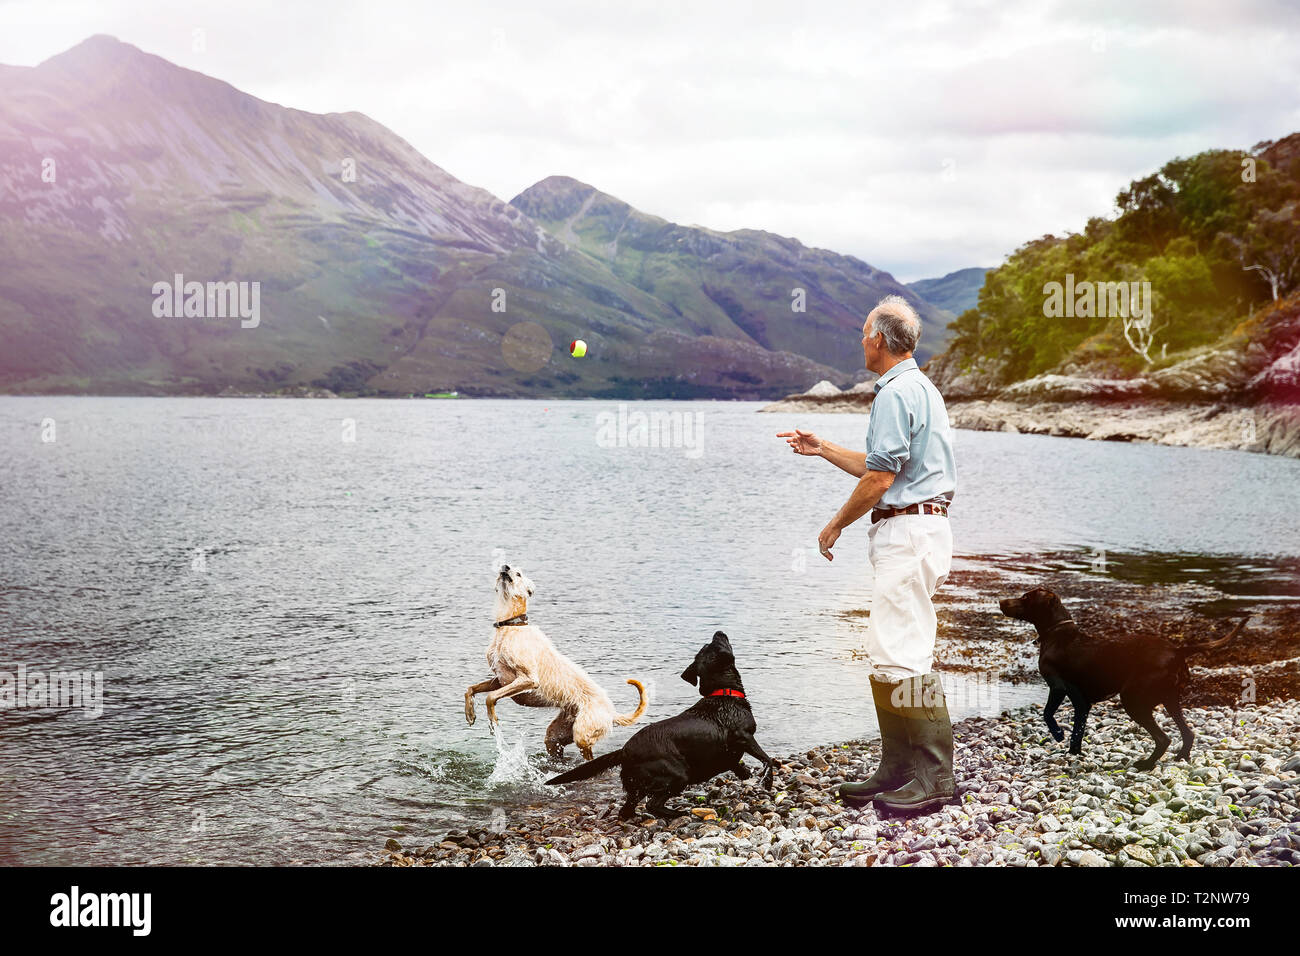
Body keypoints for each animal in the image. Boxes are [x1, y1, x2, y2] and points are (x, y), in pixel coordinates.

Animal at [465, 564, 650, 759]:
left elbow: (490, 698)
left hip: (582, 734)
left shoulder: (528, 679)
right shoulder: (501, 680)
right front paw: (470, 713)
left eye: (518, 573)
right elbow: (471, 689)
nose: (505, 567)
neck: (511, 625)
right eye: (508, 567)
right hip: (555, 735)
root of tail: (612, 713)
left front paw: (493, 720)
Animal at [546, 632, 769, 816]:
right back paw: (676, 814)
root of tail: (624, 751)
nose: (718, 632)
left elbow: (735, 763)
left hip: (639, 786)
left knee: (628, 810)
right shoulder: (744, 736)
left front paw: (745, 772)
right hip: (678, 775)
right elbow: (767, 759)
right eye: (714, 643)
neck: (723, 692)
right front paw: (768, 779)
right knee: (652, 804)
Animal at [998, 587, 1242, 775]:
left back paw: (1145, 764)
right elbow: (1077, 731)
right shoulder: (1082, 703)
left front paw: (1059, 735)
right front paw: (1074, 752)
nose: (1000, 601)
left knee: (1163, 739)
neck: (1057, 634)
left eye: (1026, 598)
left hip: (1133, 700)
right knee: (1188, 733)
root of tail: (1178, 650)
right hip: (1170, 699)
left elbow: (1048, 714)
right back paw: (1180, 757)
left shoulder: (1061, 689)